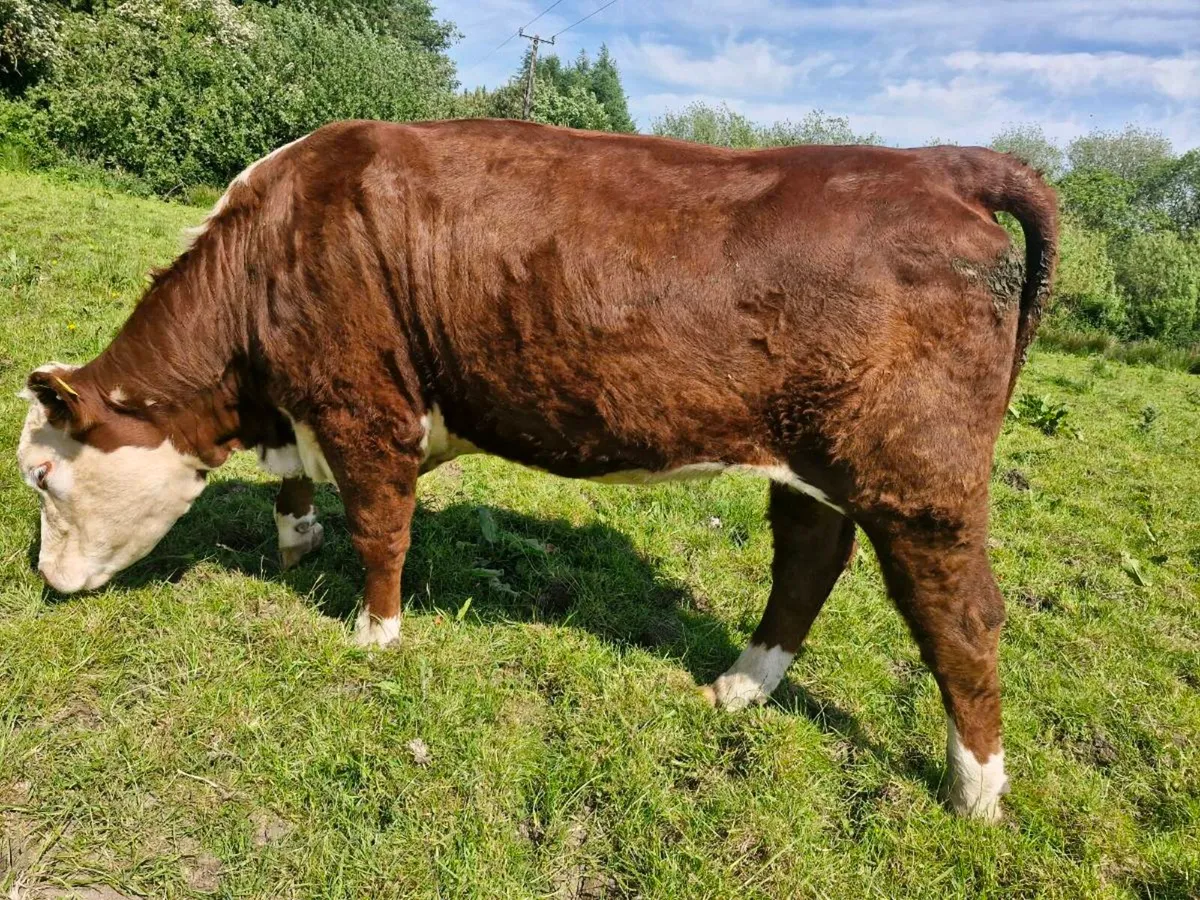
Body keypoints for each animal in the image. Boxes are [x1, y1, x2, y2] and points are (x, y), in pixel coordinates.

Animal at [17, 119, 1057, 821]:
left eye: (41, 477)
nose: (45, 580)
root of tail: (935, 161)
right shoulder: (314, 403)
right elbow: (300, 493)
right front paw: (294, 540)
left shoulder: (367, 409)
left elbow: (380, 529)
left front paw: (374, 635)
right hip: (811, 457)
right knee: (808, 557)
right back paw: (739, 687)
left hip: (919, 480)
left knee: (962, 615)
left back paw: (974, 791)